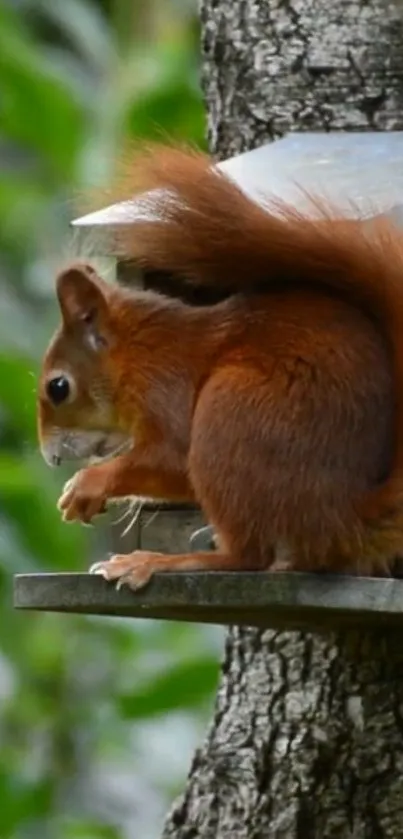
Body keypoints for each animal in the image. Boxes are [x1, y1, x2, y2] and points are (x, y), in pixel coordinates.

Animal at [37, 144, 403, 592]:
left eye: (58, 387)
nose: (50, 457)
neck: (139, 354)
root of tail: (345, 518)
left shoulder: (165, 385)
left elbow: (172, 458)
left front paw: (88, 484)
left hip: (229, 415)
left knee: (248, 556)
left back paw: (159, 561)